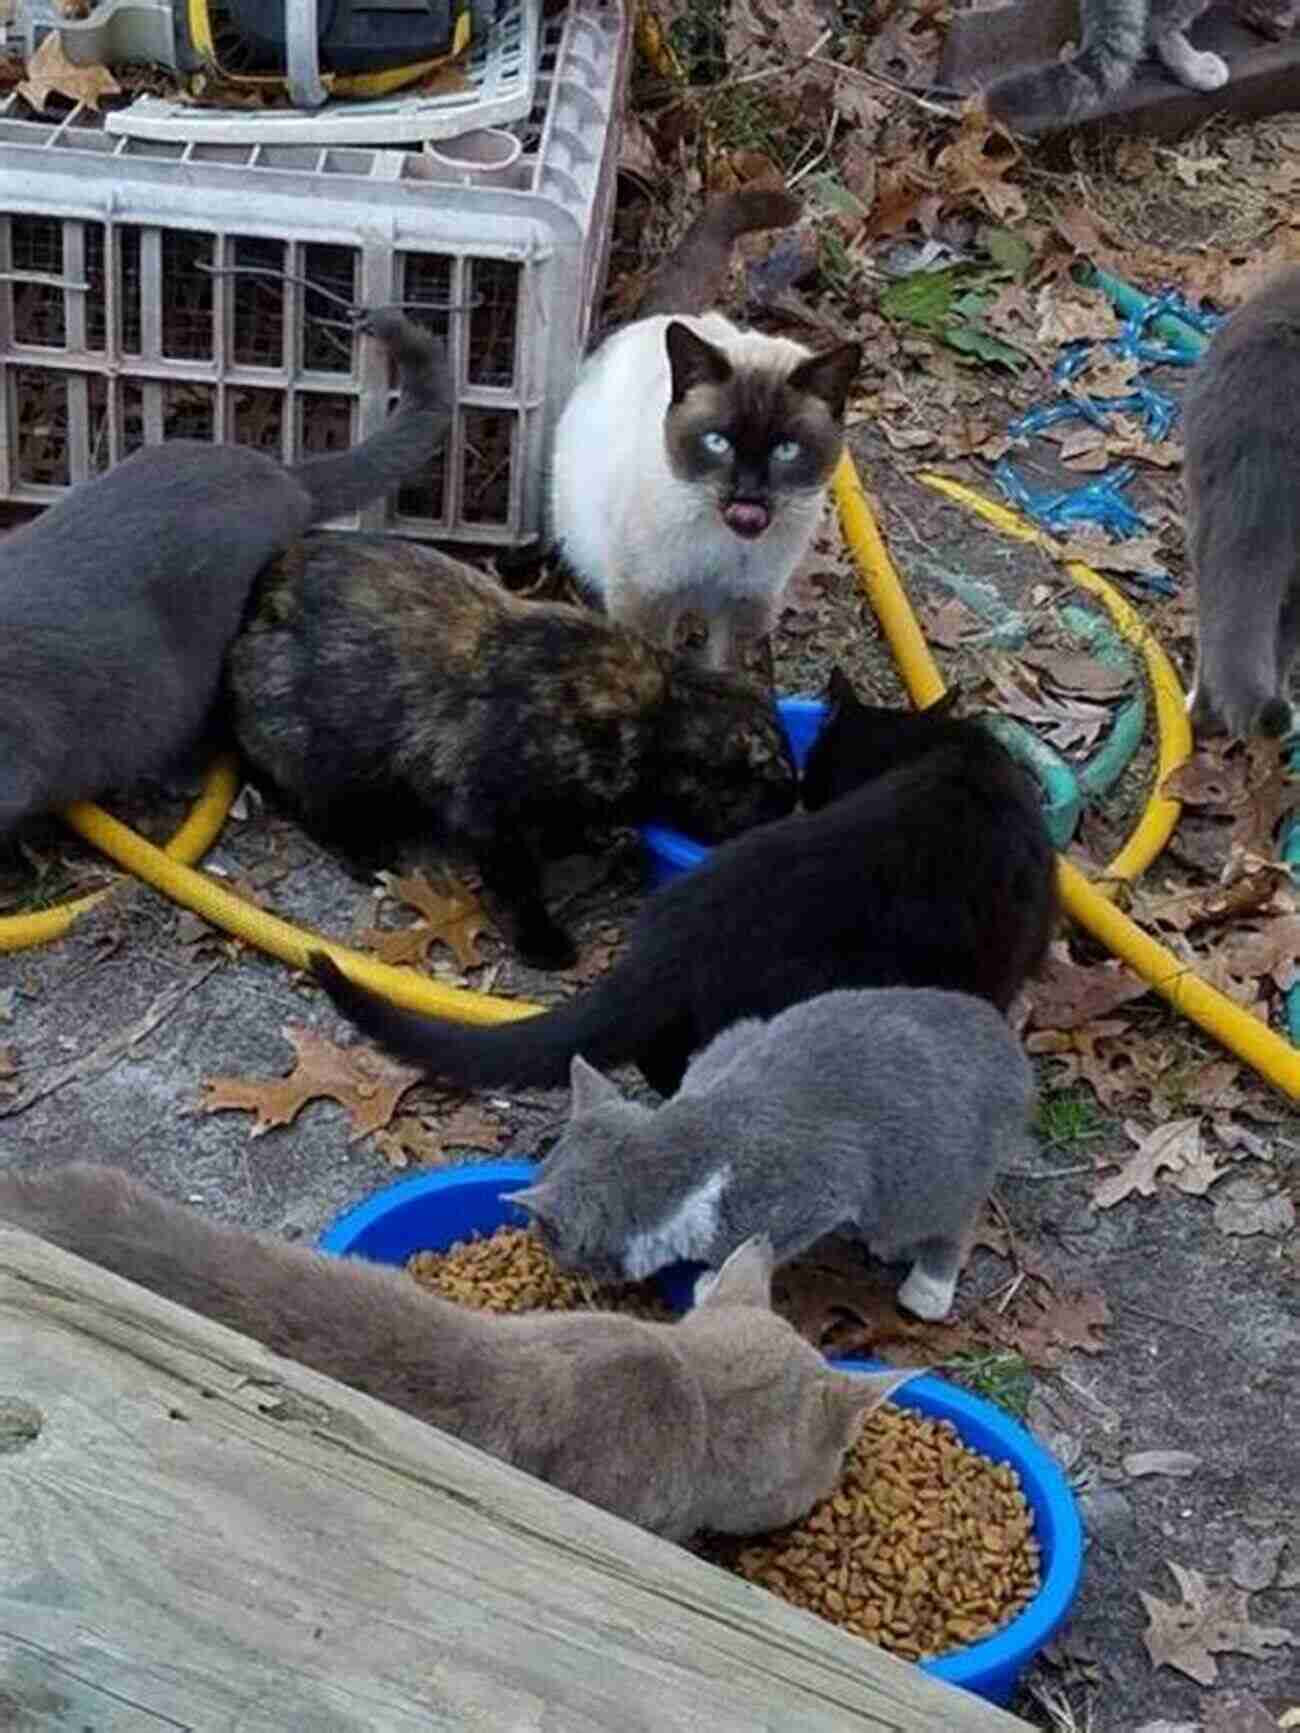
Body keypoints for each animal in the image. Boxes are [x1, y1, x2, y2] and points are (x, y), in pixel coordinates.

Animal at [513, 991, 1033, 1324]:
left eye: (547, 1234)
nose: (549, 1259)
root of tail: (1008, 1051)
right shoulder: (726, 1046)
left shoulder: (810, 1190)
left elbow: (757, 1245)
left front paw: (711, 1284)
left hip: (927, 1178)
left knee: (950, 1224)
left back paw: (925, 1288)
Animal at [551, 189, 866, 668]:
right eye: (718, 442)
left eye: (787, 450)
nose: (747, 497)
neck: (725, 550)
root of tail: (671, 316)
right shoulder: (645, 598)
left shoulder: (745, 607)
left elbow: (732, 670)